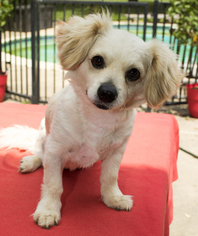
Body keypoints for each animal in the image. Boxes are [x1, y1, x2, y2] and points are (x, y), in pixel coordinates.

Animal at [0, 11, 183, 229]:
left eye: (133, 73)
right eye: (97, 61)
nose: (107, 93)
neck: (98, 119)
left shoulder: (116, 152)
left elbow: (110, 177)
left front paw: (113, 197)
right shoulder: (55, 151)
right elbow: (53, 185)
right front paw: (48, 210)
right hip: (44, 134)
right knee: (39, 151)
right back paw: (31, 161)